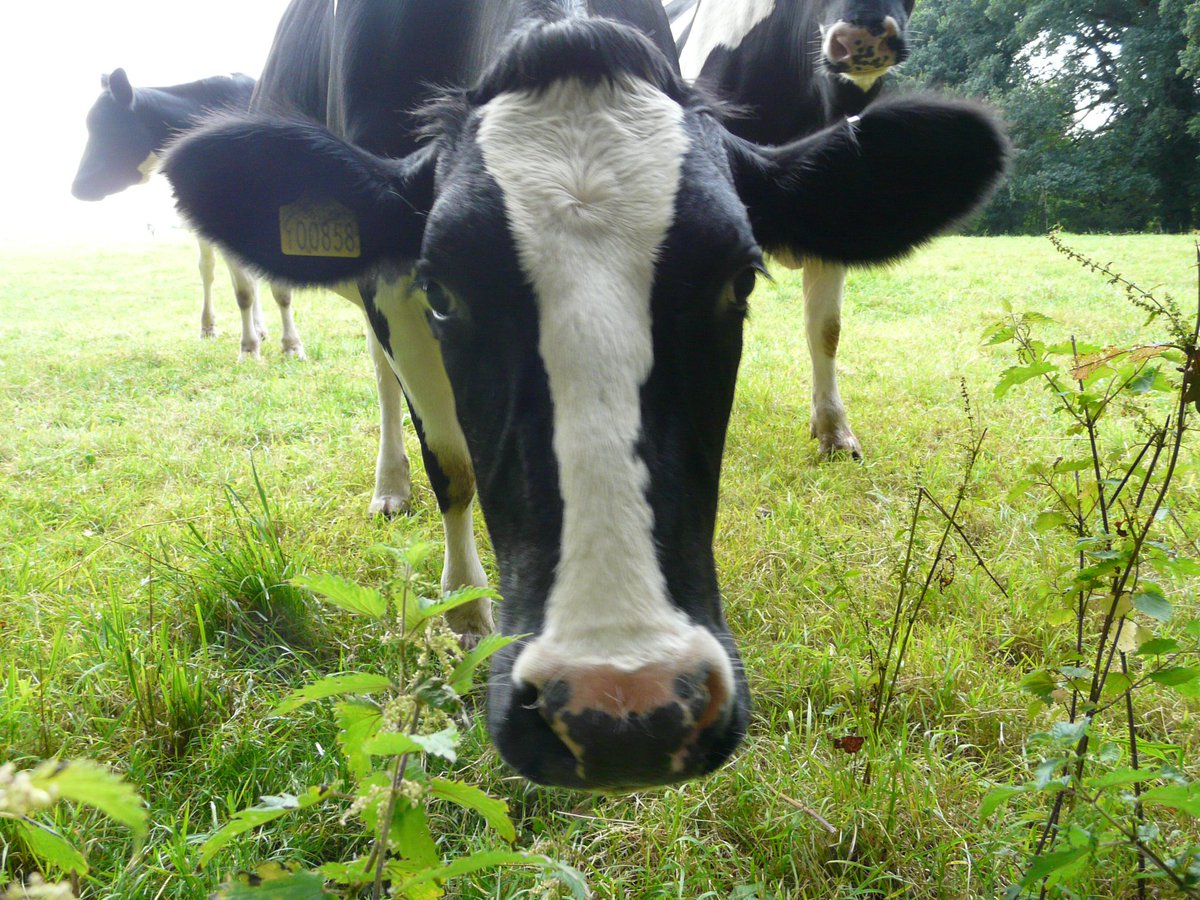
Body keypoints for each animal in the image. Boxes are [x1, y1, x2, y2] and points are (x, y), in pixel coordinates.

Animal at [72, 69, 306, 361]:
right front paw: (249, 348)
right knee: (209, 270)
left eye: (108, 128)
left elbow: (280, 289)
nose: (78, 186)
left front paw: (292, 345)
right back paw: (213, 327)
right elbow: (243, 291)